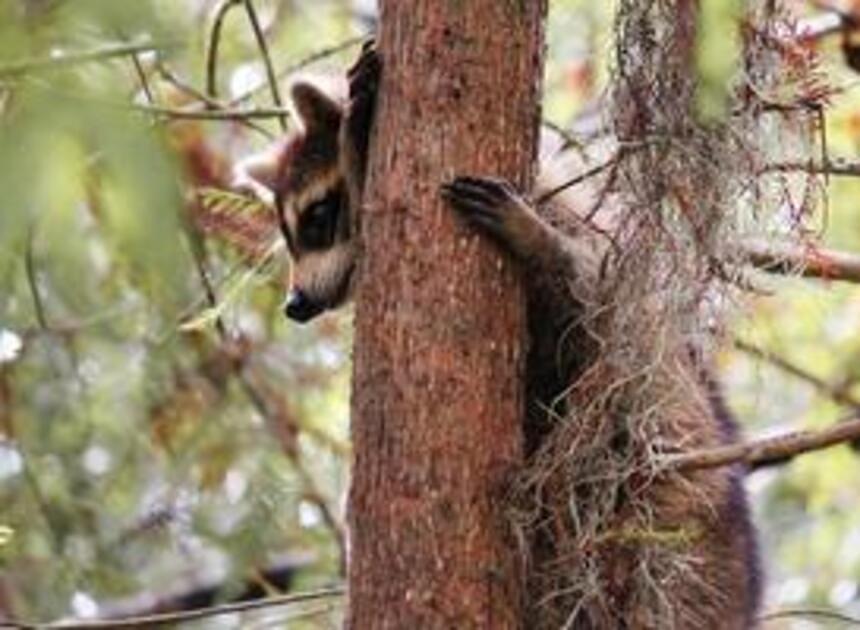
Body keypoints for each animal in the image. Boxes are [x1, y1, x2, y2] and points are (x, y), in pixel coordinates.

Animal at [233, 42, 760, 628]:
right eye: (288, 232)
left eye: (318, 216)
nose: (295, 306)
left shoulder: (587, 253)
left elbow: (591, 304)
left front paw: (357, 137)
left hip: (677, 513)